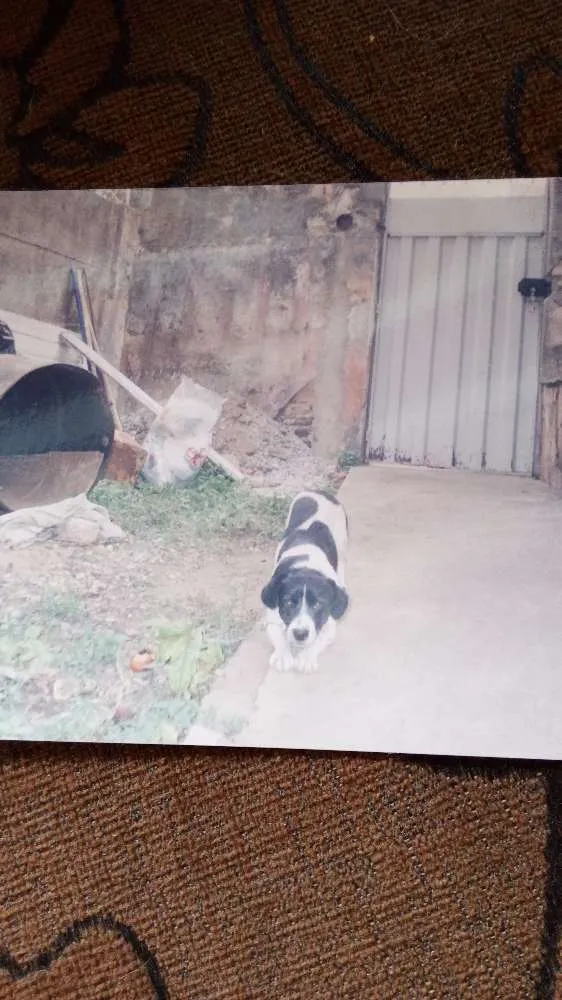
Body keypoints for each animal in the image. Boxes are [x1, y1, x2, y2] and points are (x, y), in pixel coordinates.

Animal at [260, 490, 348, 676]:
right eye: (288, 603)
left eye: (317, 605)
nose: (300, 634)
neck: (306, 567)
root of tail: (319, 491)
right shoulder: (274, 619)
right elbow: (279, 635)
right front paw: (283, 655)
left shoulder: (329, 626)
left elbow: (318, 640)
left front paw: (306, 657)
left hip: (343, 543)